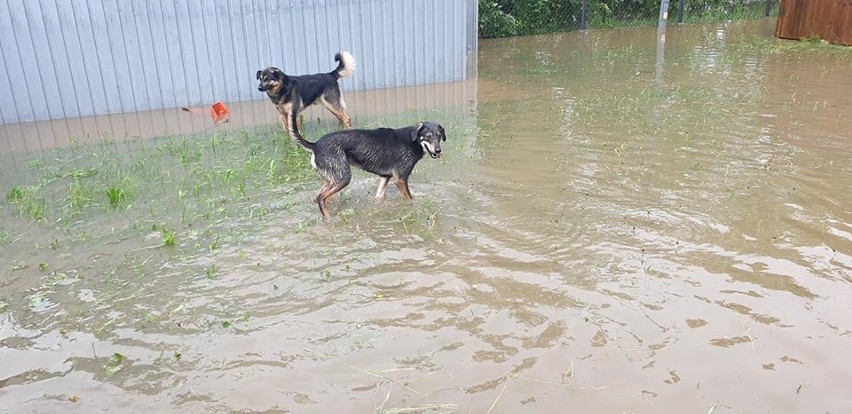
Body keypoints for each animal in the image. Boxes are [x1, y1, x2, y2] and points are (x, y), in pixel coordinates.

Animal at [288, 121, 446, 220]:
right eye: (428, 136)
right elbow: (409, 198)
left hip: (331, 178)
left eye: (439, 136)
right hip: (343, 178)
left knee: (317, 196)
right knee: (321, 197)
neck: (412, 140)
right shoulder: (400, 180)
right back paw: (330, 219)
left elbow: (379, 197)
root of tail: (315, 145)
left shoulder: (385, 177)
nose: (438, 151)